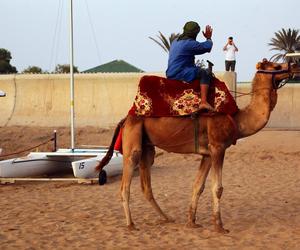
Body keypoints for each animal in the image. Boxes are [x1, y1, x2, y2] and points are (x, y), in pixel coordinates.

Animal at [95, 59, 300, 233]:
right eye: (276, 65)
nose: (295, 65)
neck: (237, 119)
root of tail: (126, 118)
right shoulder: (218, 147)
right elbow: (217, 188)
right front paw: (219, 226)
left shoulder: (208, 153)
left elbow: (198, 186)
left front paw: (191, 222)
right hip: (133, 141)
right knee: (125, 183)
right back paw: (131, 224)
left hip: (147, 147)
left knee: (147, 186)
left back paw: (167, 218)